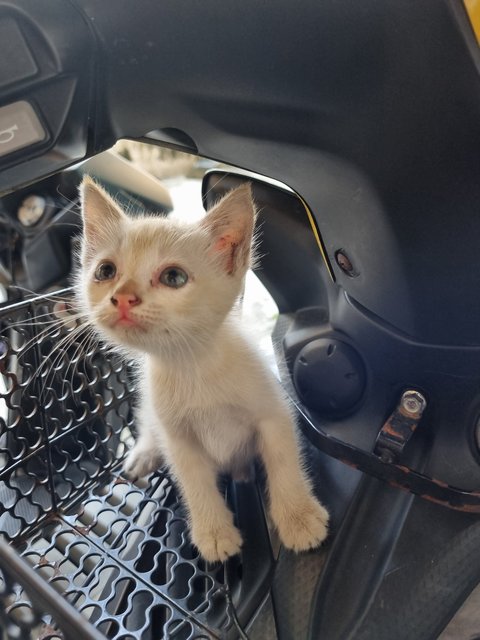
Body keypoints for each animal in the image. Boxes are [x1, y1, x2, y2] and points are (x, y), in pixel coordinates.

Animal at [77, 175, 328, 560]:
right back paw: (143, 453)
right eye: (105, 271)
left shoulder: (274, 413)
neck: (192, 365)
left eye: (174, 277)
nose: (122, 297)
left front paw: (298, 518)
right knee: (148, 425)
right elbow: (194, 481)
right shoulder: (177, 437)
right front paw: (214, 532)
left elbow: (284, 462)